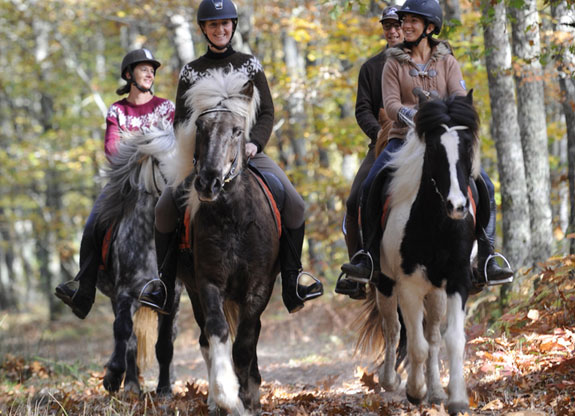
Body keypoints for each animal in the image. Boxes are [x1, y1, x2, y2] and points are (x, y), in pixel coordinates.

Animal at [94, 126, 182, 396]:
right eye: (160, 163)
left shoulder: (171, 298)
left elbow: (164, 344)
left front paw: (164, 389)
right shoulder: (126, 293)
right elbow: (124, 332)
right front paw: (113, 378)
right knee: (129, 338)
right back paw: (132, 385)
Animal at [166, 66, 282, 414]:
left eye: (236, 130)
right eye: (200, 128)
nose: (208, 183)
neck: (233, 218)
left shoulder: (259, 287)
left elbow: (245, 342)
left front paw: (248, 396)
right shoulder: (208, 282)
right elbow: (218, 332)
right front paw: (228, 396)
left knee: (251, 335)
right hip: (192, 290)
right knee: (206, 338)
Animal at [358, 92, 484, 416]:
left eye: (467, 146)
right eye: (436, 150)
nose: (457, 206)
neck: (437, 222)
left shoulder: (457, 280)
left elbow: (451, 340)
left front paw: (456, 398)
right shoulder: (409, 286)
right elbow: (415, 344)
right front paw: (415, 391)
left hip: (436, 290)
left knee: (432, 335)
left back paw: (436, 391)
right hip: (386, 285)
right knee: (393, 329)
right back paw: (391, 381)